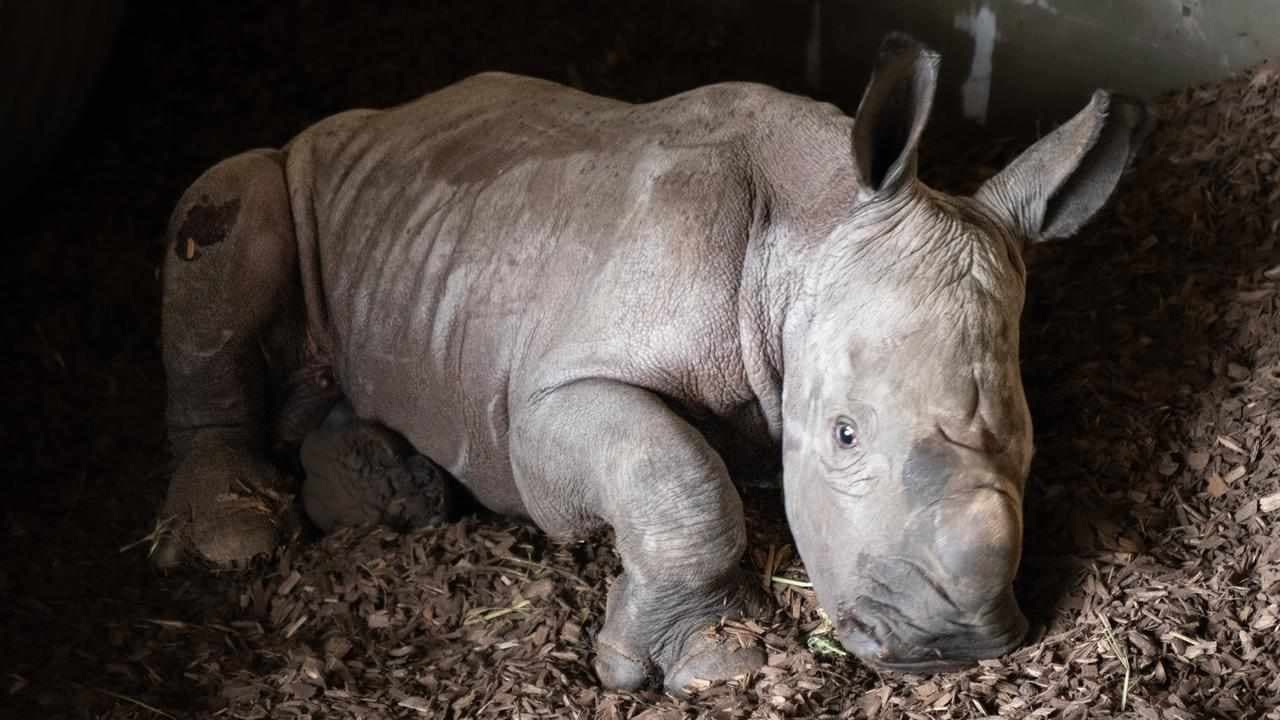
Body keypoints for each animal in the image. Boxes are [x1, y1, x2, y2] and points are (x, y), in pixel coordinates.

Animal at [154, 34, 1147, 693]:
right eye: (844, 435)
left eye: (1029, 444)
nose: (951, 645)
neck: (814, 226)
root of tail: (339, 124)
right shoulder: (542, 401)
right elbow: (678, 477)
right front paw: (709, 666)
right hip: (286, 174)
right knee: (228, 212)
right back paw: (239, 538)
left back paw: (383, 494)